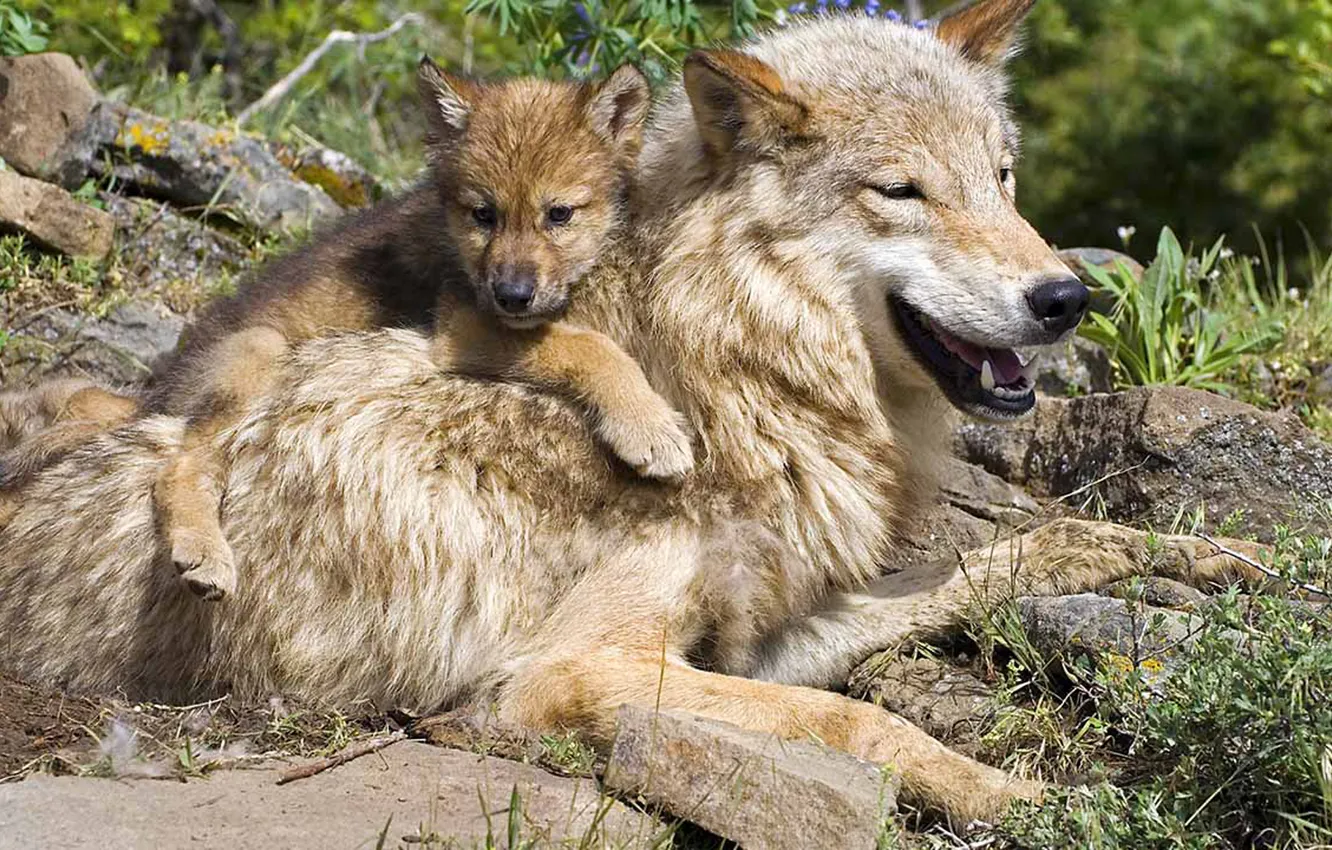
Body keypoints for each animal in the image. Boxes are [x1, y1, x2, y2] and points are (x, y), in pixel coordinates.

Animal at [0, 0, 1262, 825]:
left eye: (1001, 177)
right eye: (902, 191)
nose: (1065, 298)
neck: (727, 376)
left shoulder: (761, 625)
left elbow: (1006, 556)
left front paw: (1196, 554)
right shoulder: (573, 673)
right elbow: (866, 724)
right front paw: (1021, 794)